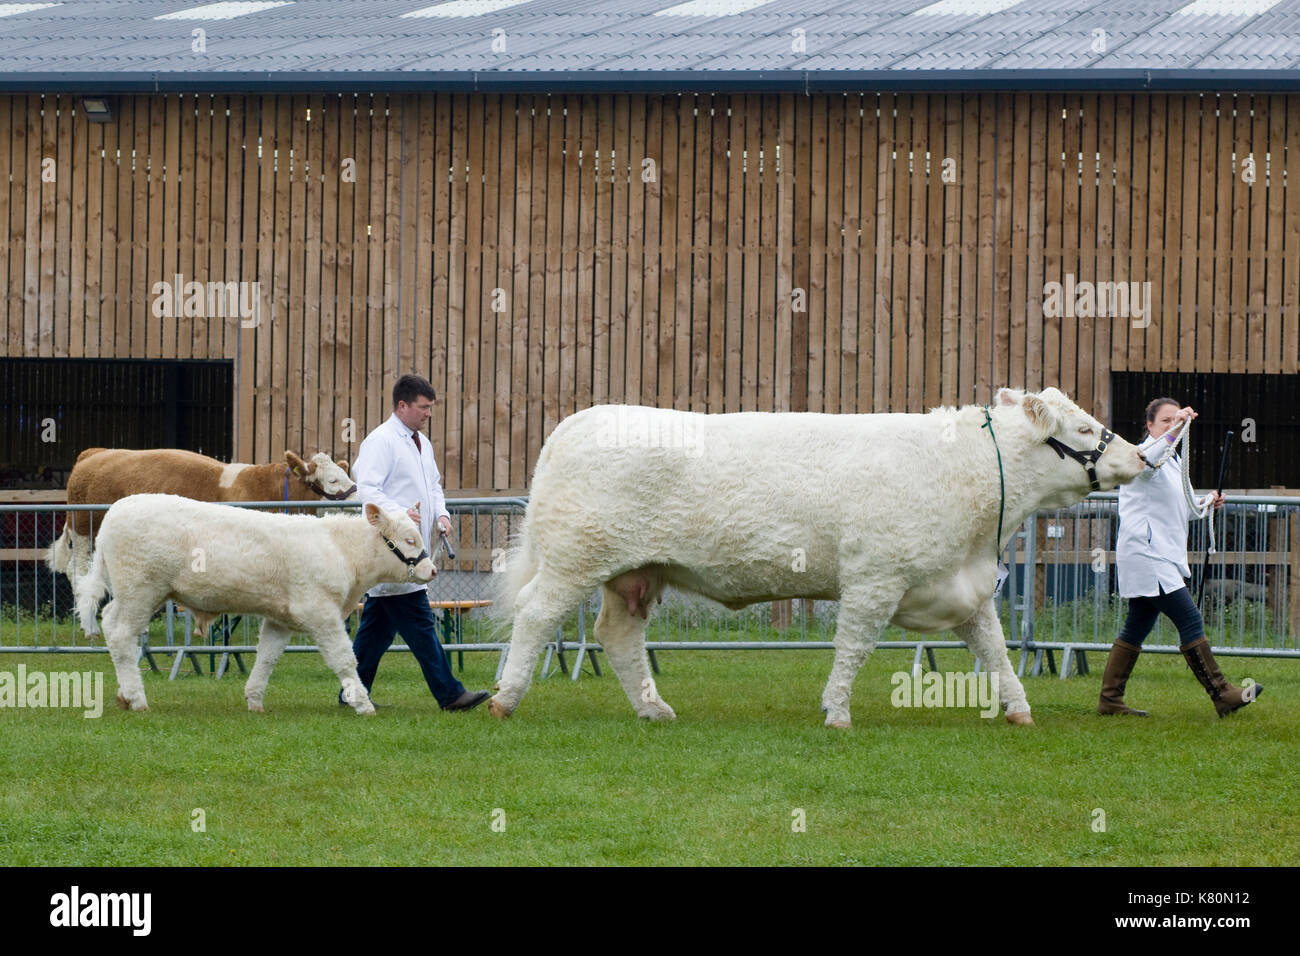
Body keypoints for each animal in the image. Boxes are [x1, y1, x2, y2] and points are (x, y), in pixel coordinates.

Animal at [77, 496, 436, 712]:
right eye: (409, 540)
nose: (431, 570)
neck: (339, 548)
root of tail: (115, 511)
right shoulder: (321, 613)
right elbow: (345, 660)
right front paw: (362, 703)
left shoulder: (281, 618)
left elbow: (266, 658)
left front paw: (254, 700)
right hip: (141, 591)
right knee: (121, 636)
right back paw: (137, 699)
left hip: (133, 595)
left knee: (110, 623)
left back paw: (125, 695)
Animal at [488, 387, 1149, 723]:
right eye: (1084, 429)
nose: (1141, 455)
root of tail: (574, 424)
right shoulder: (874, 578)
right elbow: (853, 646)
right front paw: (836, 711)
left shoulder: (965, 587)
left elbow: (995, 651)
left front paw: (1017, 710)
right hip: (576, 557)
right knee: (536, 613)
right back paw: (504, 699)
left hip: (636, 572)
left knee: (617, 632)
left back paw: (654, 709)